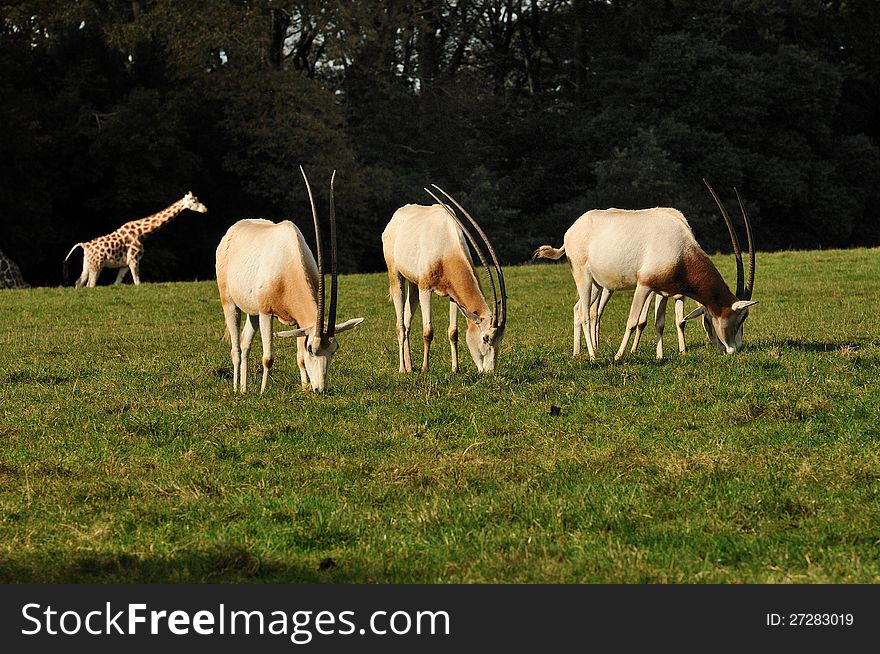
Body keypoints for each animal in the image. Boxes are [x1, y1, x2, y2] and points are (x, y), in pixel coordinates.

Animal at [65, 192, 208, 290]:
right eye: (193, 201)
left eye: (197, 199)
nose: (205, 209)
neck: (141, 233)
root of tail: (85, 245)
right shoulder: (134, 259)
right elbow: (138, 283)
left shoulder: (125, 264)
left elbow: (117, 283)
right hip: (97, 264)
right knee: (90, 285)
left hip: (87, 264)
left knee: (79, 282)